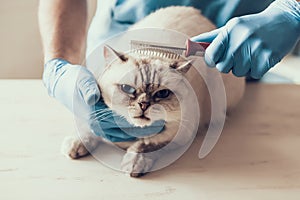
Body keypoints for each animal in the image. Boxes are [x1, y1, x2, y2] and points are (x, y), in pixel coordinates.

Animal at [60, 5, 244, 177]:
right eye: (127, 89)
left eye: (162, 94)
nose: (143, 104)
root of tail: (199, 14)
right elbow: (88, 128)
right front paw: (75, 146)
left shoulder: (179, 134)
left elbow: (147, 144)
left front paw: (134, 164)